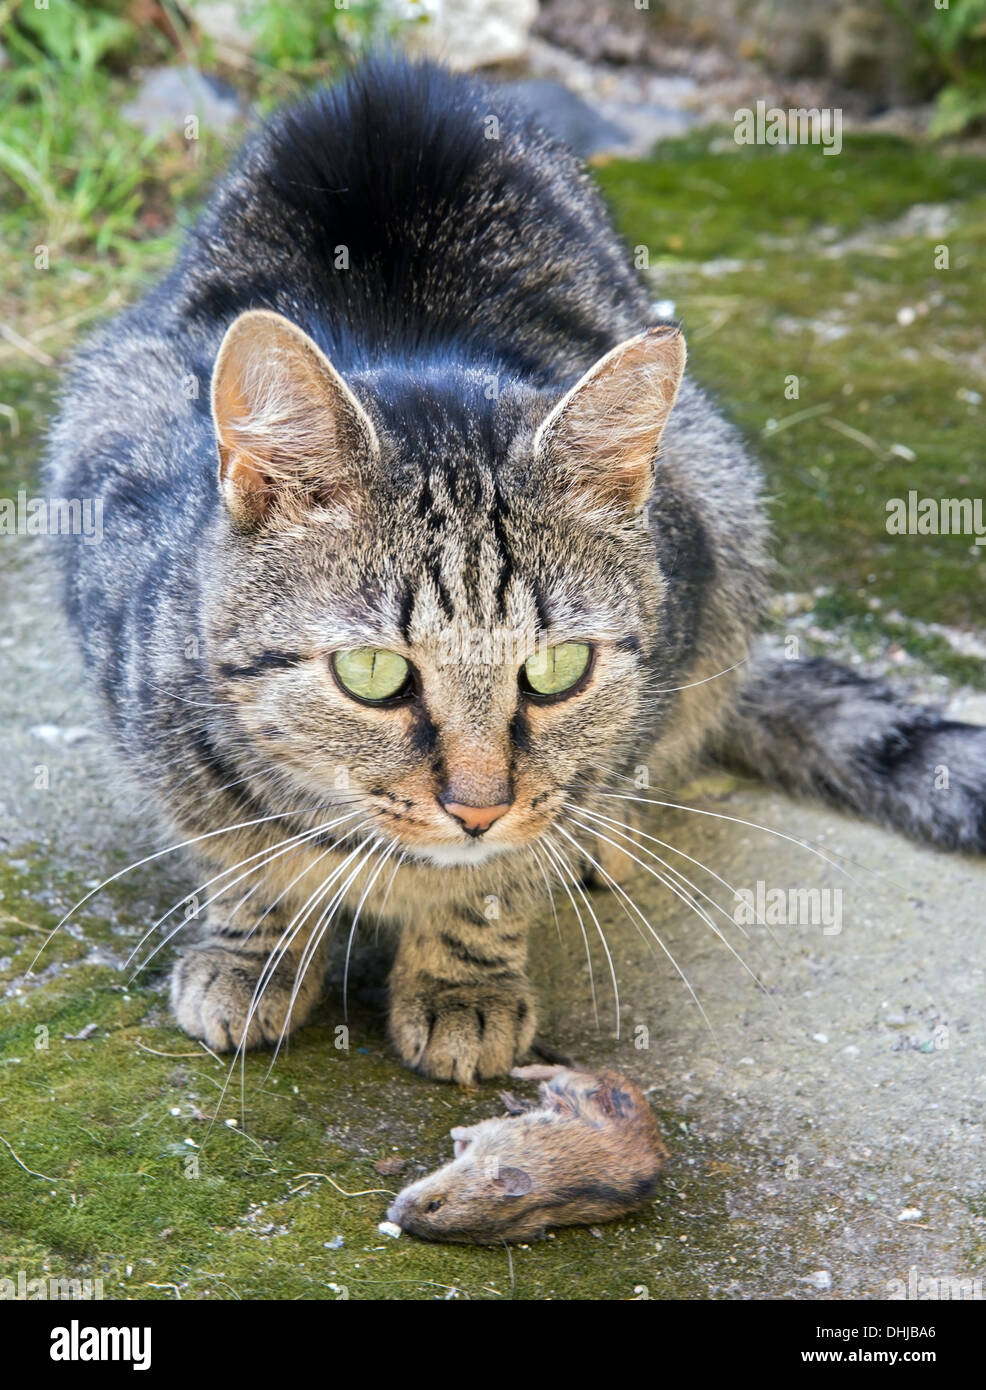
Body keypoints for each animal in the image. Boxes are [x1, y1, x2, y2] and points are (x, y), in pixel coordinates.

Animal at [46, 56, 984, 1084]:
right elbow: (237, 858)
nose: (480, 808)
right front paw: (251, 955)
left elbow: (506, 878)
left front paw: (464, 983)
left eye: (558, 670)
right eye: (372, 675)